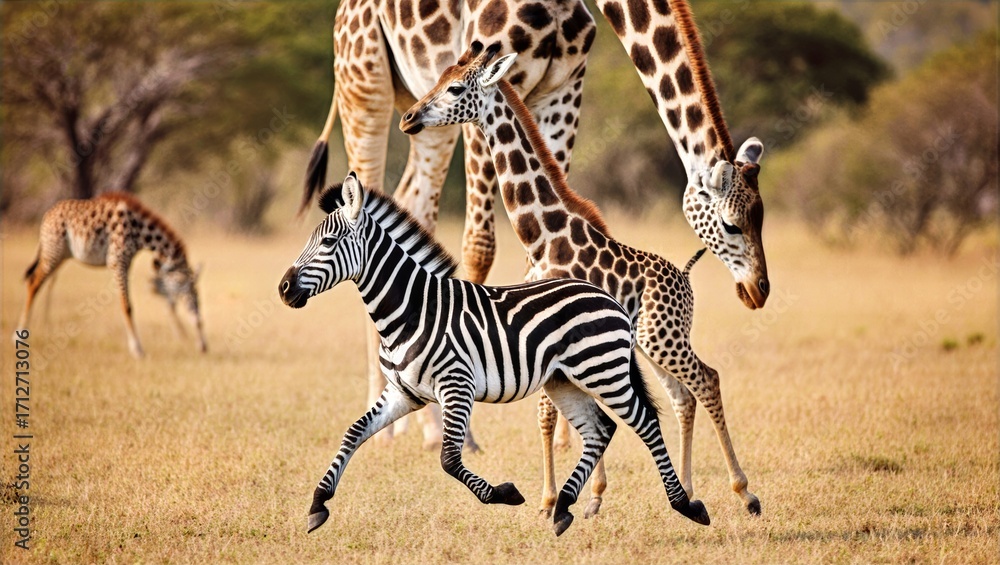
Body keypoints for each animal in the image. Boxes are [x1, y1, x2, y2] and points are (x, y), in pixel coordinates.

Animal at [15, 192, 207, 358]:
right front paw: (138, 351)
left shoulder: (126, 263)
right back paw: (19, 335)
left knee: (45, 282)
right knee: (34, 282)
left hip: (61, 254)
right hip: (53, 252)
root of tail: (47, 214)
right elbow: (127, 305)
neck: (141, 232)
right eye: (192, 295)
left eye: (197, 296)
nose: (204, 347)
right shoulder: (117, 261)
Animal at [278, 172, 710, 536]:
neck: (411, 309)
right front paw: (318, 504)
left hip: (603, 372)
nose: (283, 289)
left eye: (328, 243)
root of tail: (607, 296)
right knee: (600, 430)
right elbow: (353, 432)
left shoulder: (457, 385)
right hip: (564, 382)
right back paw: (563, 508)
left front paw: (505, 493)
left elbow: (449, 459)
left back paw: (686, 505)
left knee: (646, 424)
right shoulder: (404, 392)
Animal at [400, 40, 765, 518]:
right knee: (682, 396)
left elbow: (551, 413)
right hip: (652, 344)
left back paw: (745, 492)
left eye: (456, 87)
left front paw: (555, 500)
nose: (409, 118)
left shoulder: (552, 338)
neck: (543, 236)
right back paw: (686, 489)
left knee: (707, 381)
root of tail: (683, 279)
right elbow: (563, 413)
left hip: (662, 339)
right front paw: (586, 498)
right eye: (440, 78)